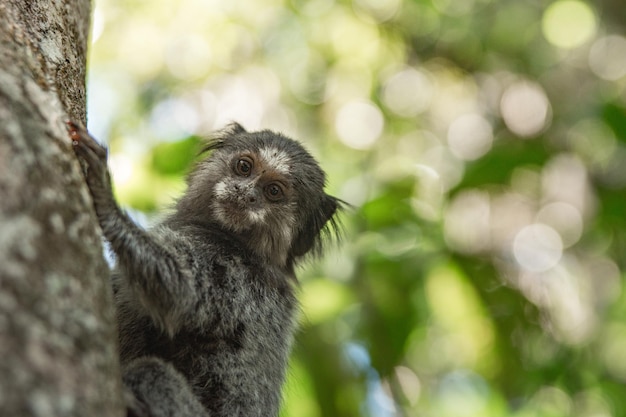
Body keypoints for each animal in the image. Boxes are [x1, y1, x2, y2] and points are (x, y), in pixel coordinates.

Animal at [67, 122, 342, 416]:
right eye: (244, 167)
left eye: (273, 191)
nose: (246, 193)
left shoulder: (232, 274)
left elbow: (179, 291)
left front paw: (105, 197)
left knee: (150, 373)